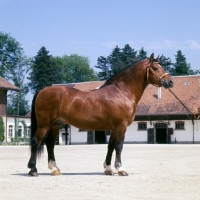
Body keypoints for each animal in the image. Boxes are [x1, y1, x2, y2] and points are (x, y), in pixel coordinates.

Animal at [27, 53, 173, 177]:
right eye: (155, 68)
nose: (170, 82)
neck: (122, 92)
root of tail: (42, 90)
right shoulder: (121, 126)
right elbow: (119, 146)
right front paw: (120, 169)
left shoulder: (114, 128)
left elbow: (110, 146)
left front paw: (108, 169)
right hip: (44, 125)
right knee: (36, 141)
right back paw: (33, 170)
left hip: (55, 125)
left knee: (50, 144)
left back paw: (55, 169)